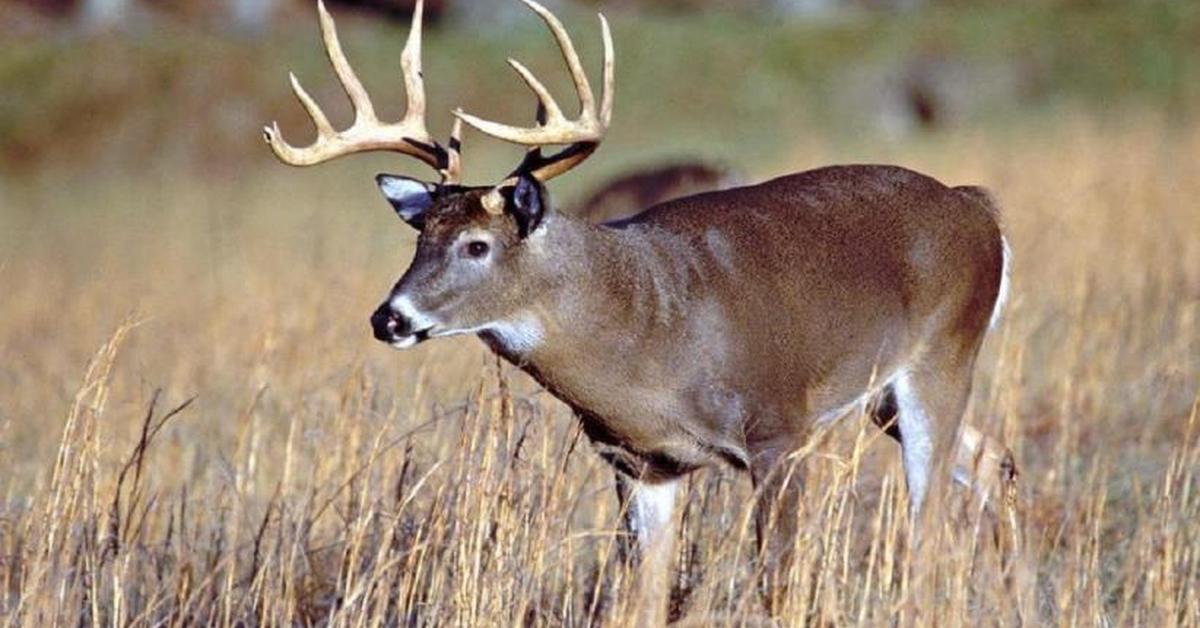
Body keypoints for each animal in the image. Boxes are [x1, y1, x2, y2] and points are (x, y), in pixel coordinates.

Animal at [267, 0, 1017, 619]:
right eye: (420, 237)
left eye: (477, 244)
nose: (388, 318)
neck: (648, 333)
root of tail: (978, 207)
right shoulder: (641, 463)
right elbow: (646, 598)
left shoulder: (779, 429)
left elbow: (778, 586)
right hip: (882, 394)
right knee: (993, 460)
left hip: (943, 352)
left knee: (929, 519)